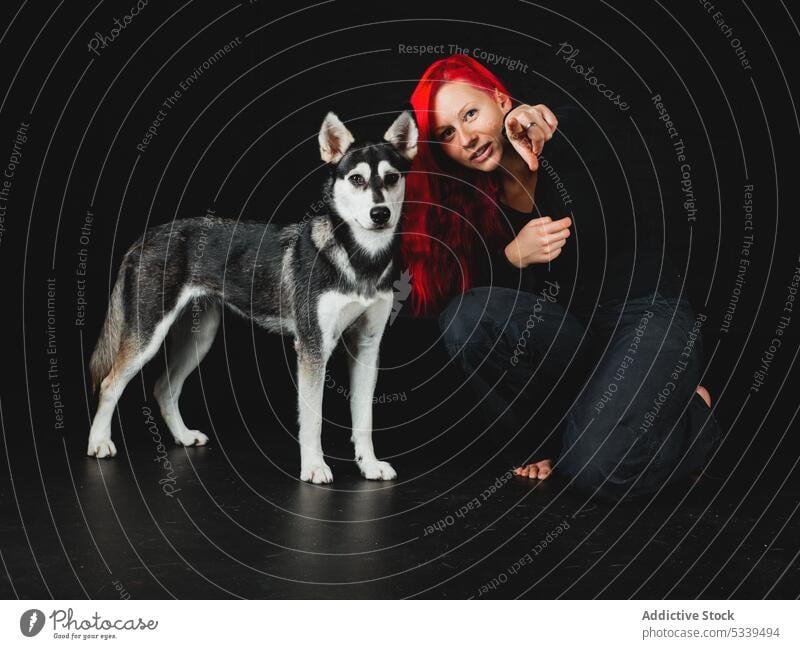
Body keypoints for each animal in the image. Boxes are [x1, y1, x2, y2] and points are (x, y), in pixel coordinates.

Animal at [86, 110, 418, 480]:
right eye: (357, 179)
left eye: (391, 178)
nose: (380, 214)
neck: (360, 260)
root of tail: (143, 238)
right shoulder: (313, 349)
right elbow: (313, 420)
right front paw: (314, 467)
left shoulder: (367, 346)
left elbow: (364, 419)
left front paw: (369, 465)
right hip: (147, 337)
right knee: (110, 384)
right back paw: (99, 443)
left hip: (199, 338)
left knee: (164, 388)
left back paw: (183, 436)